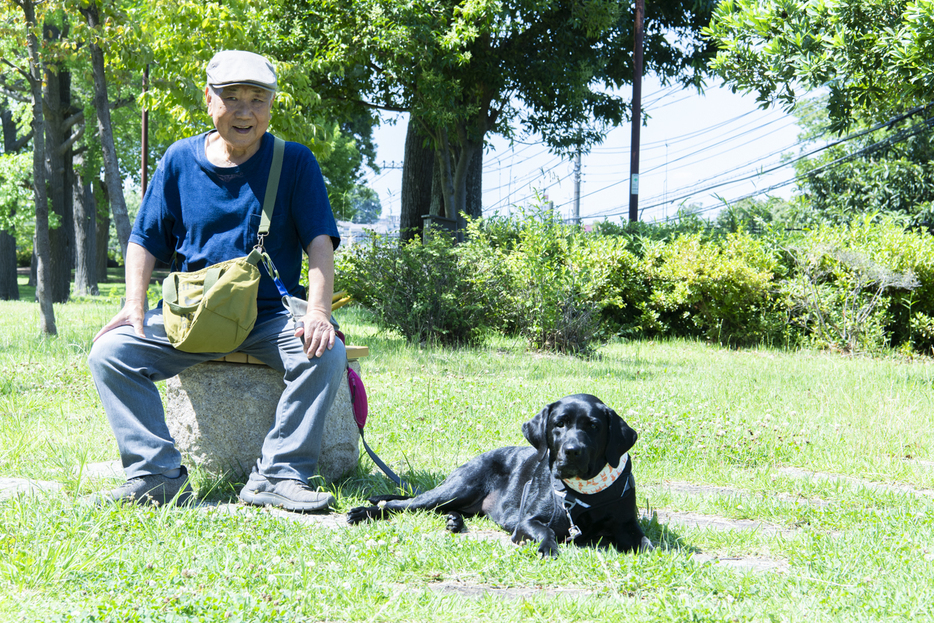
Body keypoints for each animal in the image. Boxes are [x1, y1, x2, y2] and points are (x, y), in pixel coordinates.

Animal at [348, 392, 656, 560]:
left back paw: (454, 521)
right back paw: (364, 512)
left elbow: (645, 542)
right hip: (458, 487)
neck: (584, 492)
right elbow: (545, 531)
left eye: (593, 426)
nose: (572, 451)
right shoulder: (527, 521)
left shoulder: (627, 525)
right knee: (402, 504)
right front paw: (547, 548)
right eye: (559, 424)